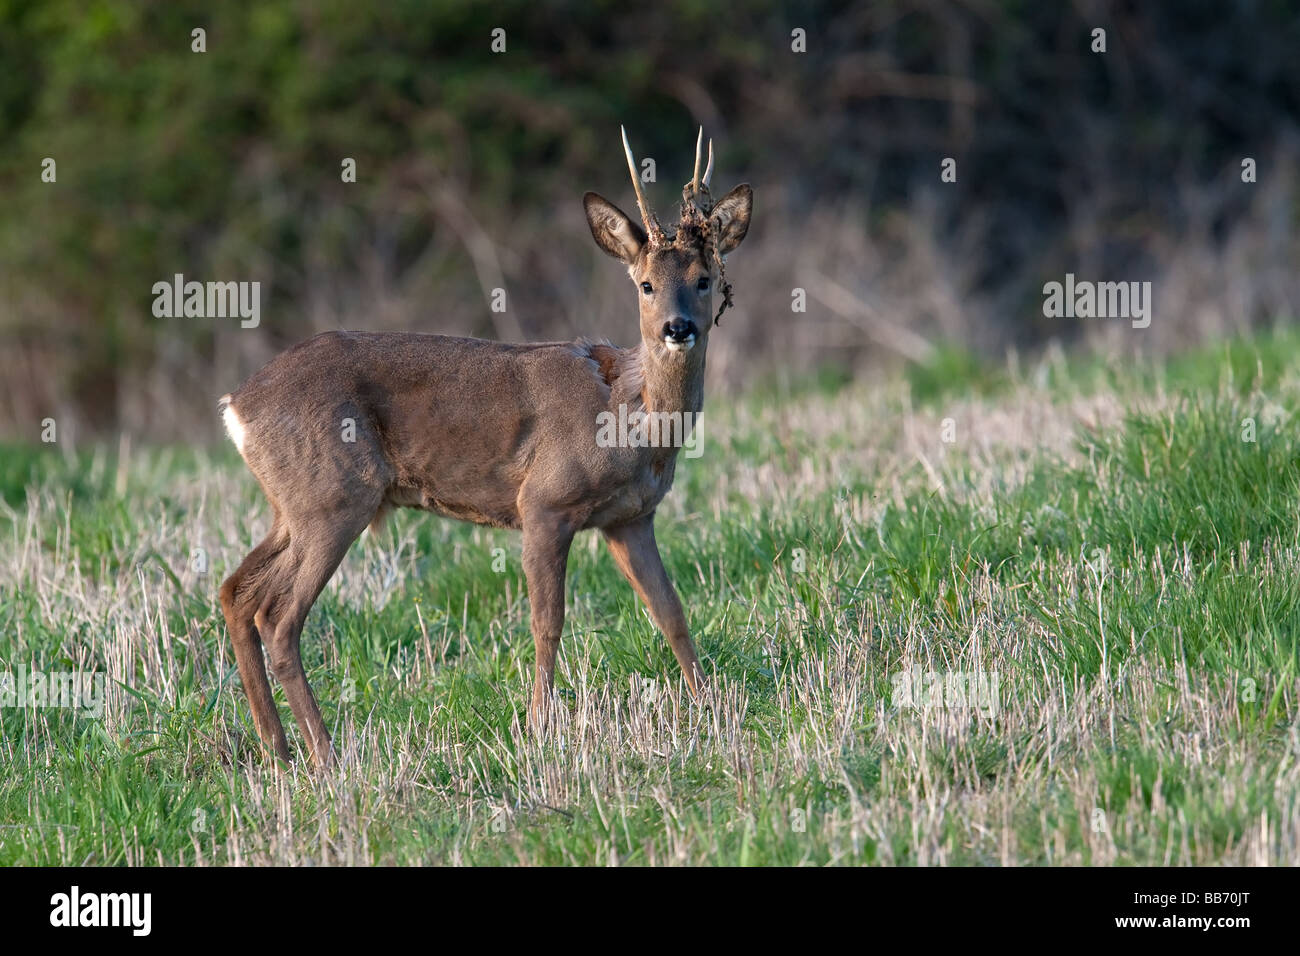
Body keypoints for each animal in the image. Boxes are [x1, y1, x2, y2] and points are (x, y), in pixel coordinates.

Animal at [217, 128, 752, 767]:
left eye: (704, 279)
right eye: (646, 285)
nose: (678, 328)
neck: (632, 418)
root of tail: (236, 407)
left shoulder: (630, 518)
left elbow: (670, 611)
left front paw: (712, 707)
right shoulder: (544, 502)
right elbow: (547, 622)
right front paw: (539, 727)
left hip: (293, 505)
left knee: (236, 592)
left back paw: (278, 749)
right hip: (334, 498)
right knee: (278, 614)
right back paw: (326, 755)